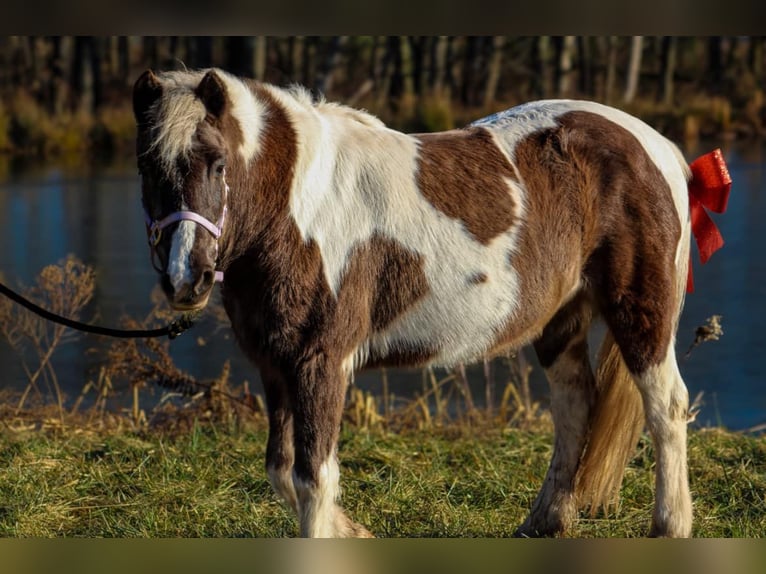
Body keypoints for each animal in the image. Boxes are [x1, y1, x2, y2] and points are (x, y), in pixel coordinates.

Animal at [135, 67, 700, 540]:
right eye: (147, 170)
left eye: (218, 164)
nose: (187, 279)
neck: (298, 210)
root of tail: (657, 145)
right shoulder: (276, 365)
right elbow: (281, 468)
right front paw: (353, 532)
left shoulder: (322, 362)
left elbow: (313, 476)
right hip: (562, 317)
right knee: (574, 405)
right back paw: (545, 522)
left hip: (640, 307)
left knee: (666, 406)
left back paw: (669, 526)